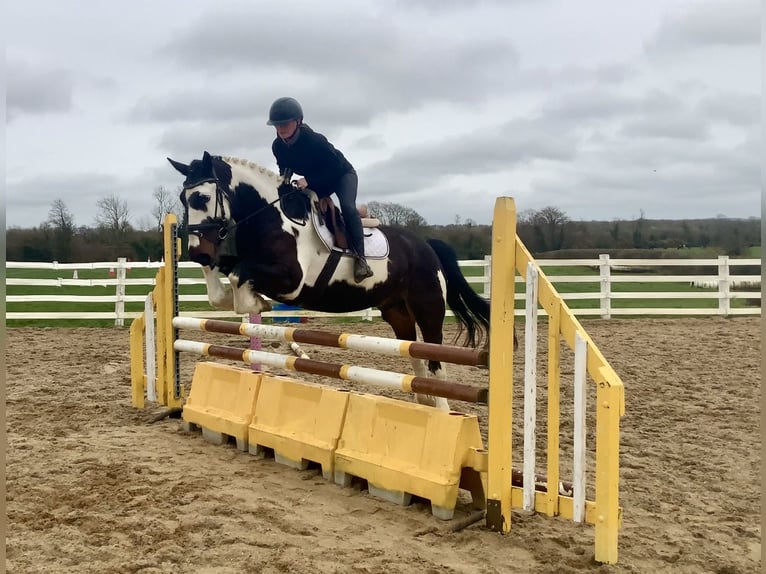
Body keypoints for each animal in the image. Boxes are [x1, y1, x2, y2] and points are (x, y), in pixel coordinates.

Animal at [167, 151, 511, 410]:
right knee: (413, 353)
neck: (271, 216)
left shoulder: (291, 280)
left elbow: (239, 277)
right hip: (396, 311)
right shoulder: (237, 262)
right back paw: (422, 399)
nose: (197, 252)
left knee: (434, 356)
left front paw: (257, 304)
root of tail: (426, 245)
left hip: (428, 308)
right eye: (183, 198)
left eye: (202, 197)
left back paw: (440, 408)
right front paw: (249, 303)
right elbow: (221, 282)